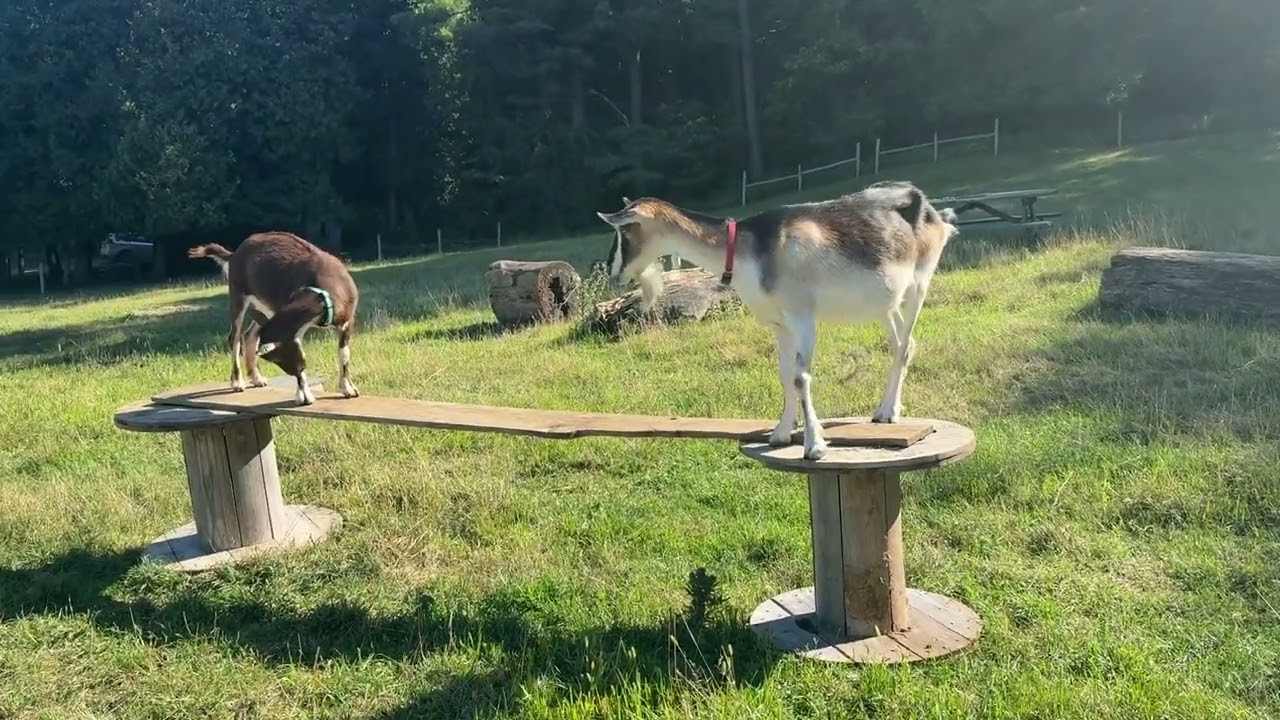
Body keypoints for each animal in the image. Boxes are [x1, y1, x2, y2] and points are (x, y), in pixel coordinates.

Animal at [188, 231, 360, 405]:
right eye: (277, 361)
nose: (298, 369)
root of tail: (234, 254)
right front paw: (304, 396)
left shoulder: (347, 321)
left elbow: (344, 354)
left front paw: (348, 389)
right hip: (238, 293)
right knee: (234, 337)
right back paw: (237, 382)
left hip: (265, 308)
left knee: (249, 335)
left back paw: (257, 378)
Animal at [595, 181, 959, 460]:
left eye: (625, 229)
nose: (614, 272)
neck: (754, 250)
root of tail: (934, 213)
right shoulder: (779, 323)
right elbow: (784, 375)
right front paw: (781, 433)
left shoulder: (803, 316)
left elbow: (800, 376)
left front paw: (815, 446)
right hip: (885, 305)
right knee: (900, 344)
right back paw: (885, 412)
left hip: (919, 285)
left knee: (905, 344)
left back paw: (887, 412)